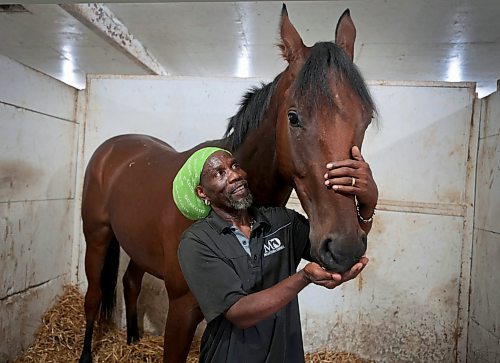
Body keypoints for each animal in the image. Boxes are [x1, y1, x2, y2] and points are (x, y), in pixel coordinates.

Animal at [79, 5, 376, 363]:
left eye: (366, 118)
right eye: (293, 117)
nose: (345, 248)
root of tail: (113, 147)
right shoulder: (182, 311)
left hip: (138, 247)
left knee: (130, 282)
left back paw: (134, 337)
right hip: (96, 237)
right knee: (94, 297)